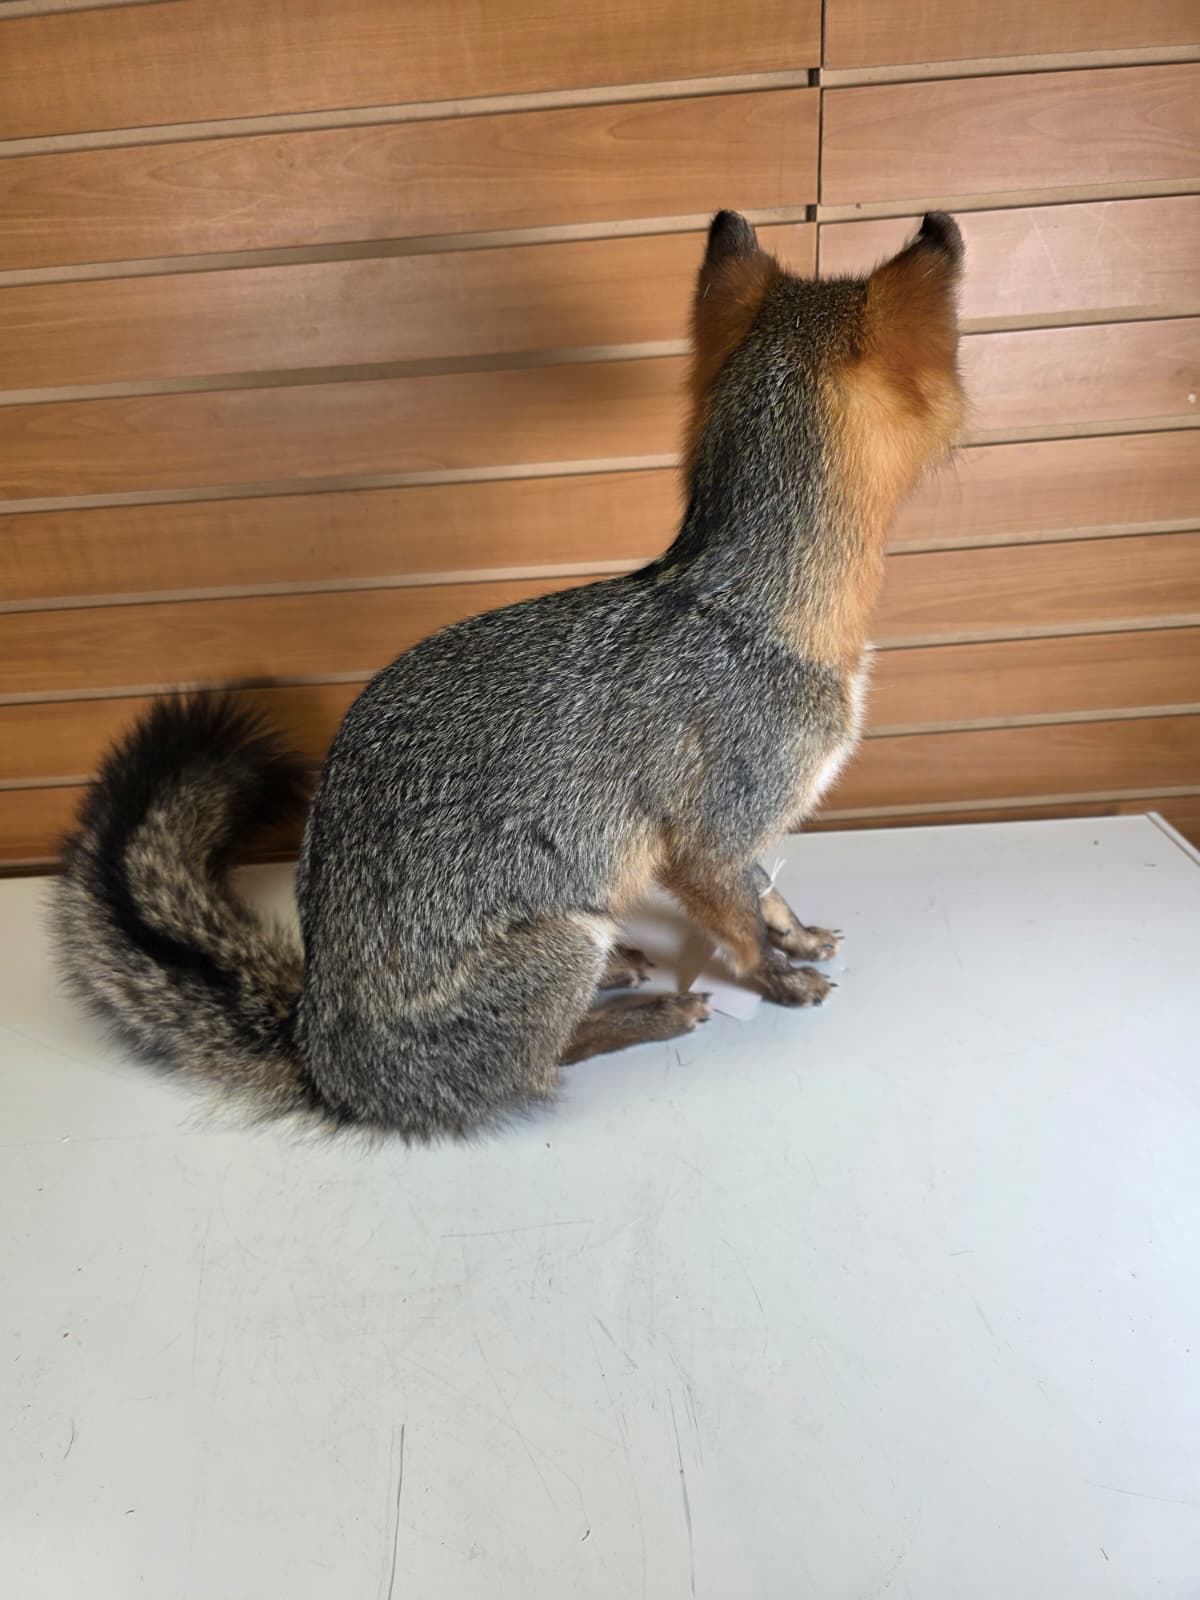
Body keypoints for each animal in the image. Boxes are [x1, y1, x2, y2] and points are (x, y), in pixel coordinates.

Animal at [53, 209, 965, 1138]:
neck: (747, 608)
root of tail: (323, 1052)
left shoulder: (737, 832)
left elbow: (766, 894)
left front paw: (799, 933)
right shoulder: (706, 839)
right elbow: (738, 921)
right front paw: (775, 979)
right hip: (568, 935)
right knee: (541, 1067)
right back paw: (646, 1012)